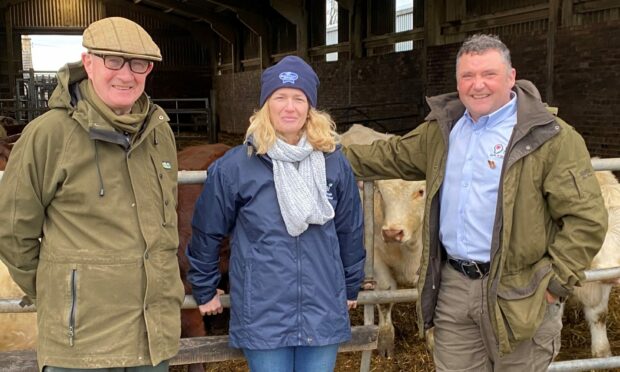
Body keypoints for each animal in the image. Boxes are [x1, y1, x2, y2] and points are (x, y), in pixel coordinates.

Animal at [340, 125, 426, 358]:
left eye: (420, 191)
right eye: (380, 192)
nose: (392, 233)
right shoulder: (375, 259)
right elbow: (385, 297)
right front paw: (386, 341)